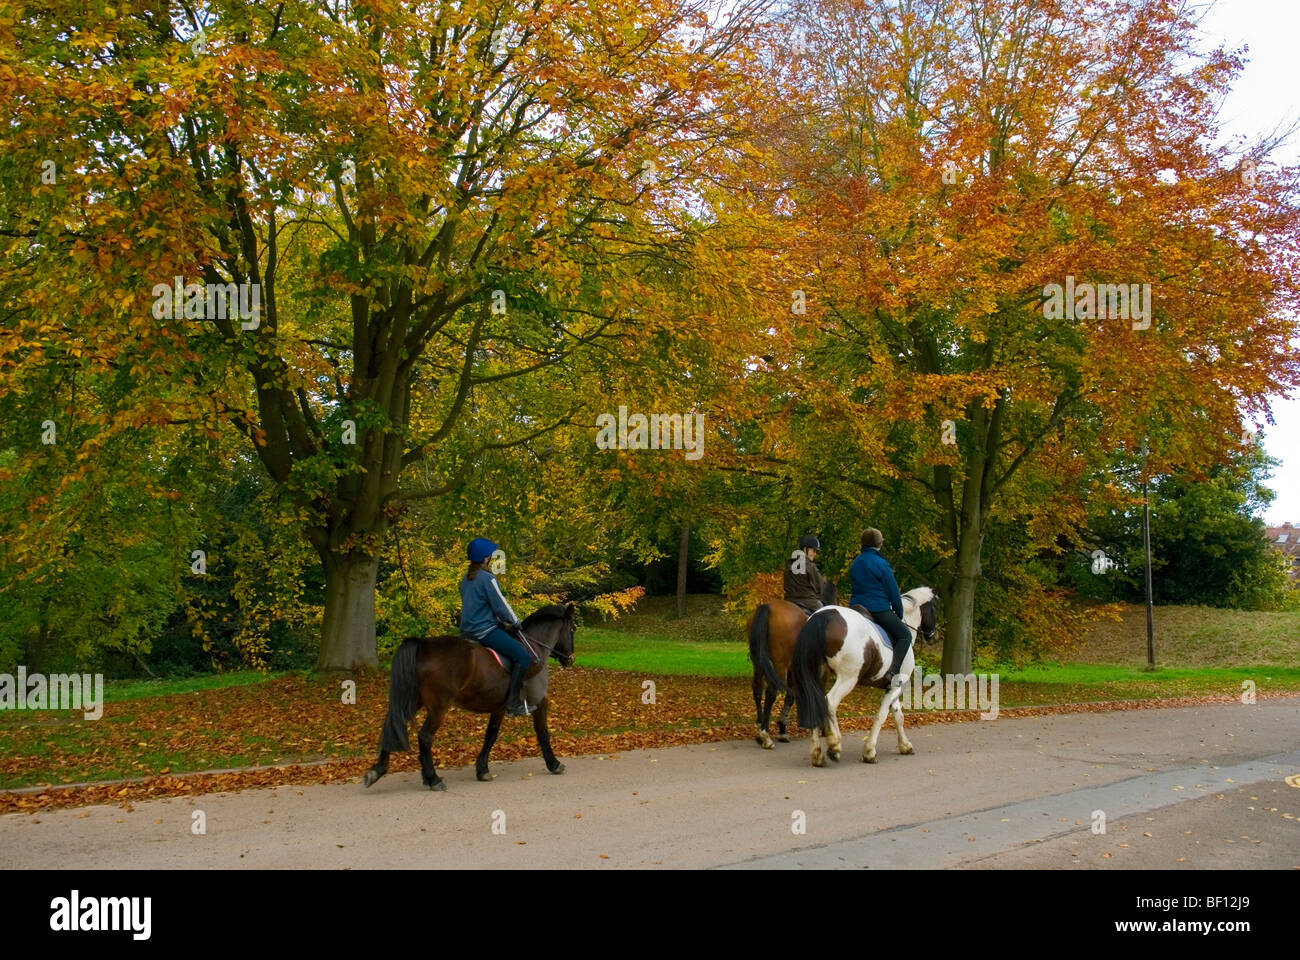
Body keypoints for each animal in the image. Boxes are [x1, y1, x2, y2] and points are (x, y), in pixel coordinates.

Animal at [361, 600, 574, 790]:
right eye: (572, 629)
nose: (571, 659)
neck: (532, 647)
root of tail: (422, 645)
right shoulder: (538, 701)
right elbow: (542, 731)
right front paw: (554, 763)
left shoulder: (499, 707)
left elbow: (491, 735)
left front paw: (482, 769)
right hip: (438, 706)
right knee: (425, 736)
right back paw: (433, 779)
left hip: (413, 701)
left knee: (393, 725)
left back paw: (378, 771)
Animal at [748, 574, 837, 749]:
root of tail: (767, 607)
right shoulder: (821, 670)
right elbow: (819, 693)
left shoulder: (793, 669)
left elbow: (791, 695)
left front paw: (783, 728)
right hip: (779, 664)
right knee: (771, 692)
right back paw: (765, 735)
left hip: (759, 663)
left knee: (758, 689)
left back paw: (759, 728)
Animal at [785, 582, 941, 764]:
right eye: (935, 607)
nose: (933, 637)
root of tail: (823, 616)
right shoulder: (897, 685)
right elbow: (882, 716)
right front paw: (869, 751)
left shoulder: (892, 687)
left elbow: (898, 715)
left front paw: (905, 746)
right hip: (848, 678)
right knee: (829, 702)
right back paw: (834, 745)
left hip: (818, 675)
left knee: (815, 703)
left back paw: (817, 754)